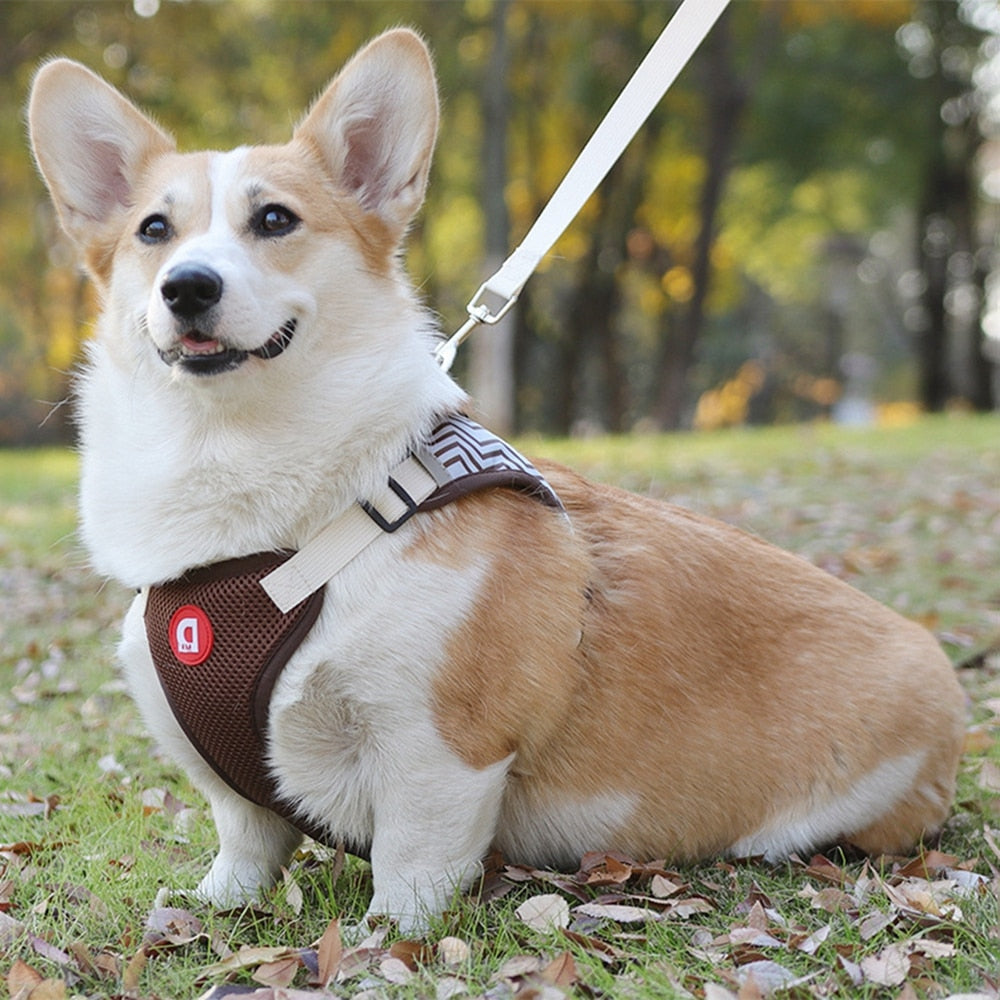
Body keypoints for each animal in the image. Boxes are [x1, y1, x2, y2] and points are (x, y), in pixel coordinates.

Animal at [31, 33, 964, 936]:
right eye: (155, 229)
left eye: (274, 219)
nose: (187, 287)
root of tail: (944, 676)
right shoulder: (228, 778)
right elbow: (245, 838)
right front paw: (215, 904)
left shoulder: (438, 749)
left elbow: (411, 863)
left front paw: (386, 941)